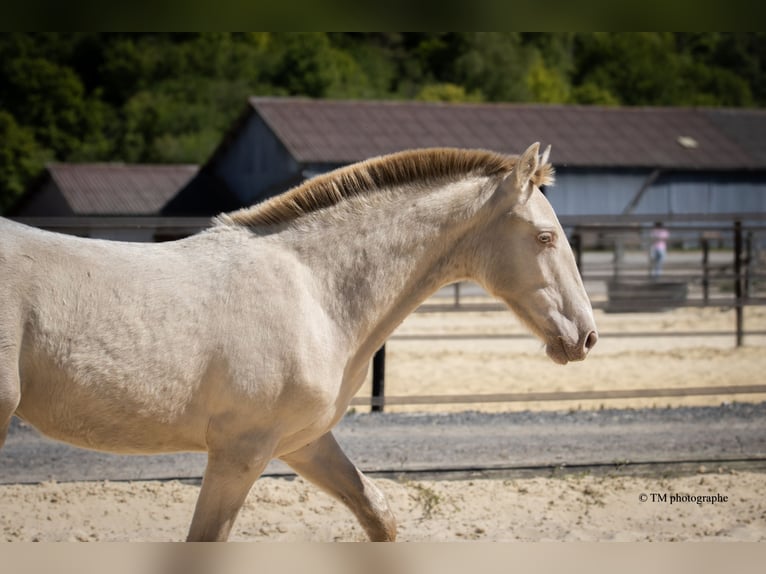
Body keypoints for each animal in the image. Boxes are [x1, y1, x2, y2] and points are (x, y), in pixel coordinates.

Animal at [0, 143, 597, 541]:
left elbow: (378, 514)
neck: (314, 291)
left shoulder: (303, 443)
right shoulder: (240, 452)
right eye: (545, 237)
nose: (585, 336)